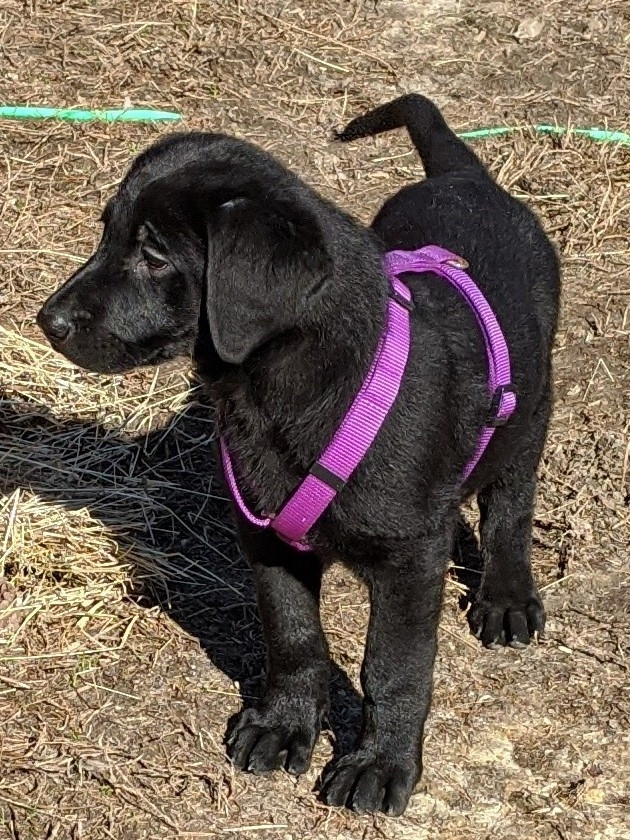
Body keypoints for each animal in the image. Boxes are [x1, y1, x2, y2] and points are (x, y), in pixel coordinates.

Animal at [38, 97, 564, 812]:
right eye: (107, 234)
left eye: (153, 254)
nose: (49, 320)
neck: (276, 389)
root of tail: (468, 179)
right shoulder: (266, 535)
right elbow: (291, 635)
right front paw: (284, 724)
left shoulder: (410, 558)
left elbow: (394, 667)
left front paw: (380, 762)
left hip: (531, 404)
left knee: (511, 498)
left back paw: (507, 593)